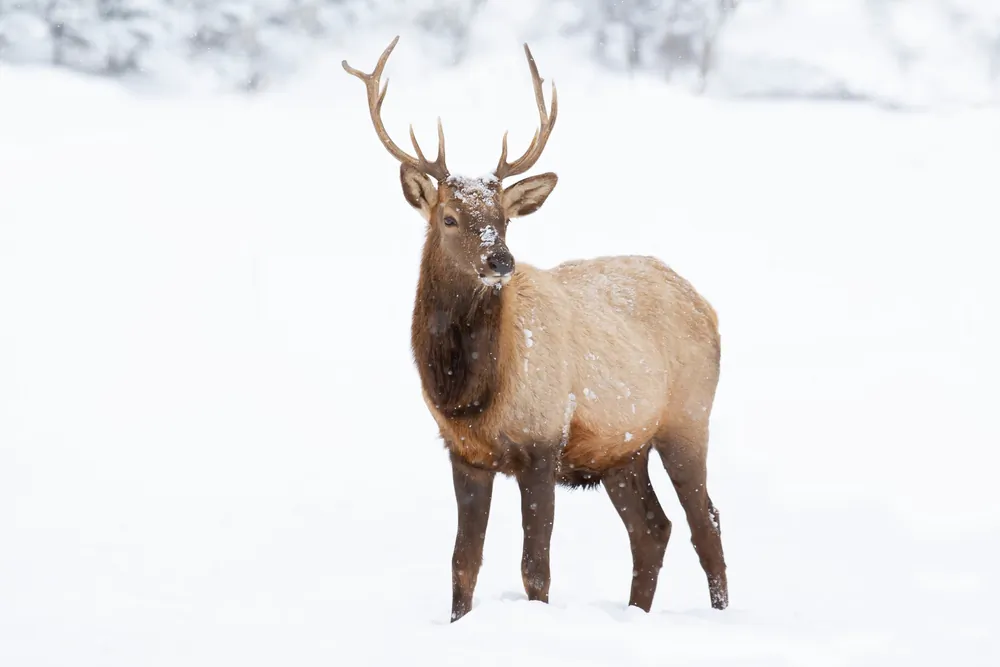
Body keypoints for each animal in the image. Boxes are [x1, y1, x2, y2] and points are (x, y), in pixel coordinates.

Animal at [342, 36, 728, 622]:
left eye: (504, 218)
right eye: (449, 217)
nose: (500, 260)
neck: (471, 394)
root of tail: (708, 307)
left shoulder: (543, 442)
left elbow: (535, 569)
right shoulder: (464, 454)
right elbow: (463, 564)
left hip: (688, 418)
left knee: (704, 521)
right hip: (622, 449)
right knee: (652, 528)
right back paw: (635, 613)